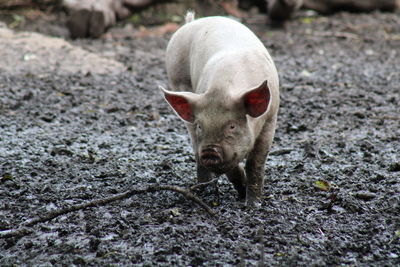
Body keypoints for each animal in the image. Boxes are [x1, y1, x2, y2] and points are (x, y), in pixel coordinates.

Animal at [158, 12, 280, 207]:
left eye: (232, 126)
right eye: (201, 126)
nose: (209, 151)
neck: (223, 89)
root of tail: (191, 22)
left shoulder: (270, 118)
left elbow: (255, 163)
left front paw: (253, 205)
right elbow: (230, 168)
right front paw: (241, 194)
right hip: (178, 80)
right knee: (195, 148)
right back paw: (201, 189)